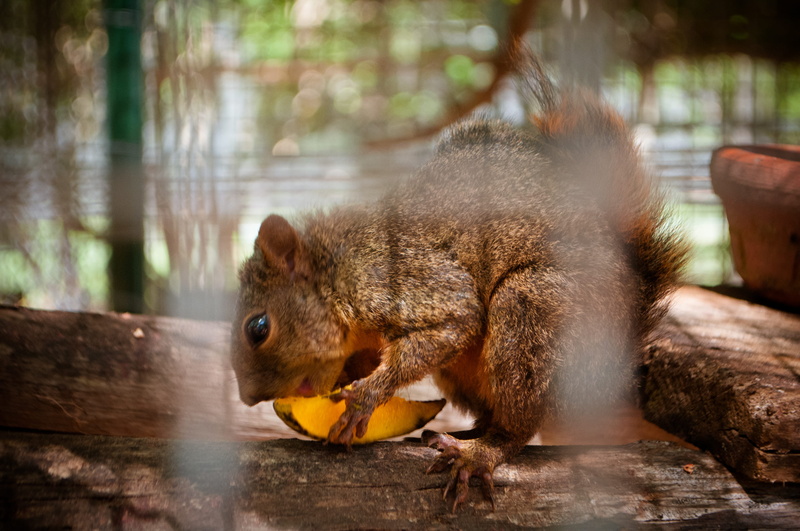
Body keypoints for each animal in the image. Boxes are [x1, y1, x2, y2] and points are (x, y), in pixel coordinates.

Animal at [230, 52, 687, 511]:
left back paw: (481, 453)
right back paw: (462, 433)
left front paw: (366, 397)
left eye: (258, 328)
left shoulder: (394, 278)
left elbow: (457, 318)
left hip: (535, 311)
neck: (336, 270)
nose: (249, 398)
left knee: (519, 425)